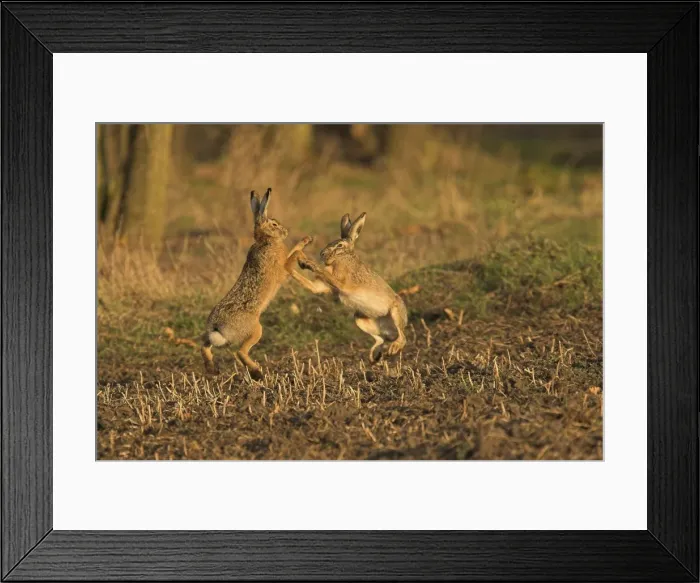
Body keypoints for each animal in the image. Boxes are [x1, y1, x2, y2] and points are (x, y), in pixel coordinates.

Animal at [201, 188, 314, 380]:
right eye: (274, 224)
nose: (285, 232)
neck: (266, 241)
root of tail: (218, 328)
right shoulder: (283, 268)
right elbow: (294, 254)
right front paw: (306, 258)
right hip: (256, 330)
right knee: (240, 352)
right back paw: (257, 373)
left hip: (212, 336)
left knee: (204, 346)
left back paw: (212, 370)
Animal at [291, 212, 408, 363]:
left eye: (340, 245)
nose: (322, 254)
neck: (343, 257)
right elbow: (314, 286)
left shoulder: (343, 284)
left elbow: (325, 274)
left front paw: (309, 263)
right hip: (359, 319)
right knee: (380, 340)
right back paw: (374, 356)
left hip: (395, 311)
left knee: (402, 338)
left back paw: (392, 349)